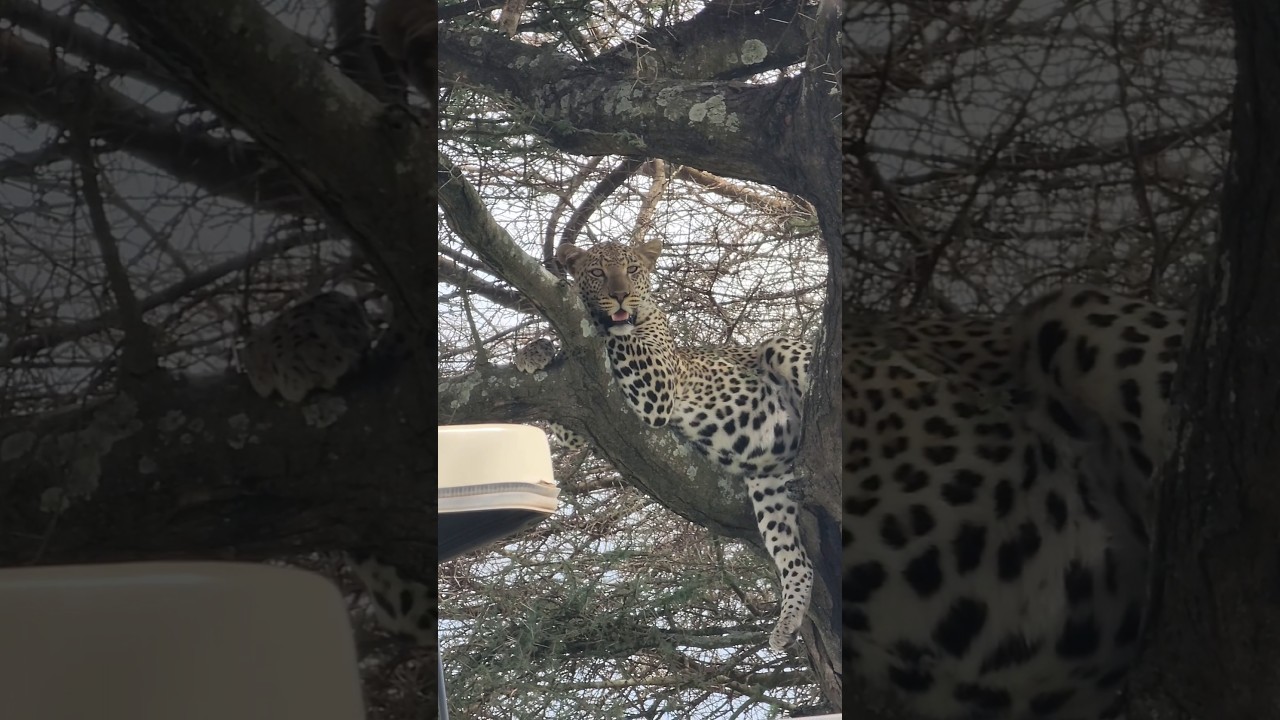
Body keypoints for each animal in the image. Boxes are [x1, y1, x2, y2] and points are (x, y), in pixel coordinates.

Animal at [518, 238, 816, 652]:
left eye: (632, 270)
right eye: (597, 272)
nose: (619, 294)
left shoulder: (656, 385)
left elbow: (612, 332)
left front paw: (577, 315)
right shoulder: (584, 409)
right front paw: (535, 351)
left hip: (780, 346)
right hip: (768, 483)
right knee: (799, 562)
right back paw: (787, 621)